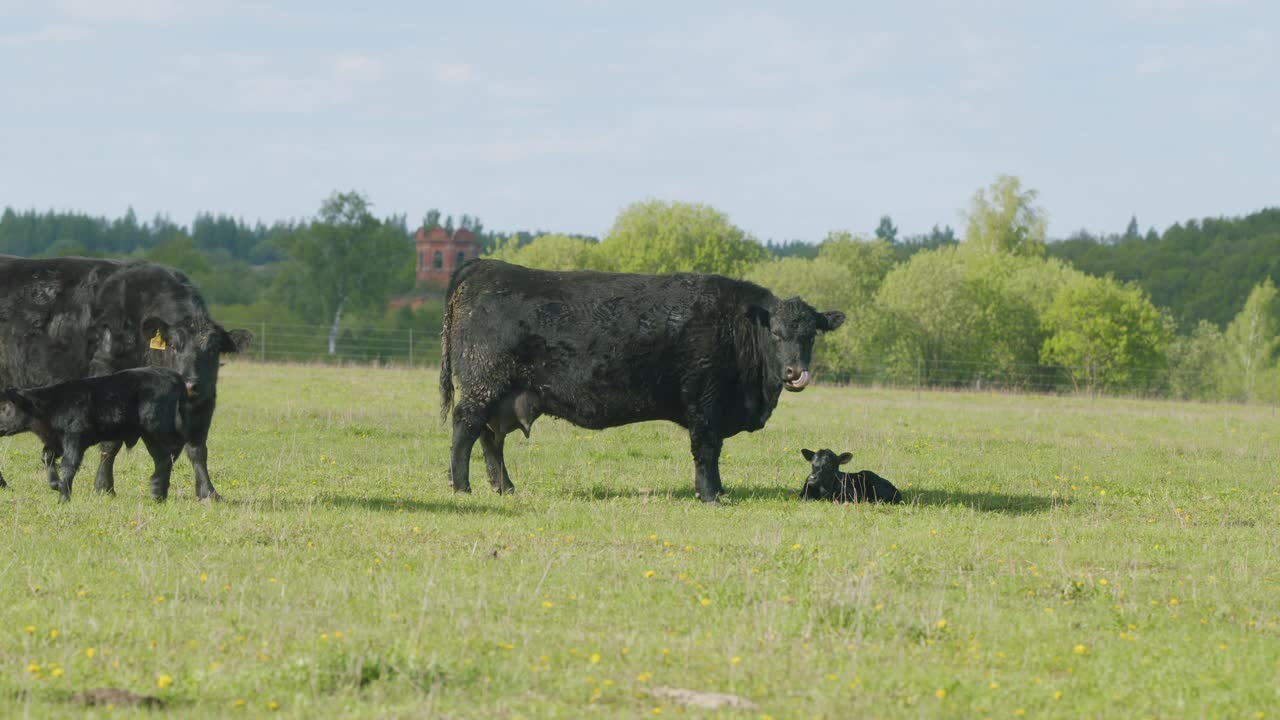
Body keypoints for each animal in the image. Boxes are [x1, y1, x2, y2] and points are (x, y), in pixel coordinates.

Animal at [0, 254, 250, 497]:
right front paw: (104, 487)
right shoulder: (110, 387)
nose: (191, 384)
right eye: (173, 346)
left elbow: (197, 447)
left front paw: (208, 492)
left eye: (214, 349)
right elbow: (111, 444)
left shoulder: (205, 402)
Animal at [442, 260, 849, 502]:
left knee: (490, 438)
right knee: (465, 429)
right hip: (483, 384)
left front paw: (717, 491)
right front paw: (710, 495)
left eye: (811, 335)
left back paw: (504, 487)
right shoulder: (705, 401)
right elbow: (706, 449)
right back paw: (461, 486)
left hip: (500, 396)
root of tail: (485, 266)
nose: (795, 372)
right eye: (776, 333)